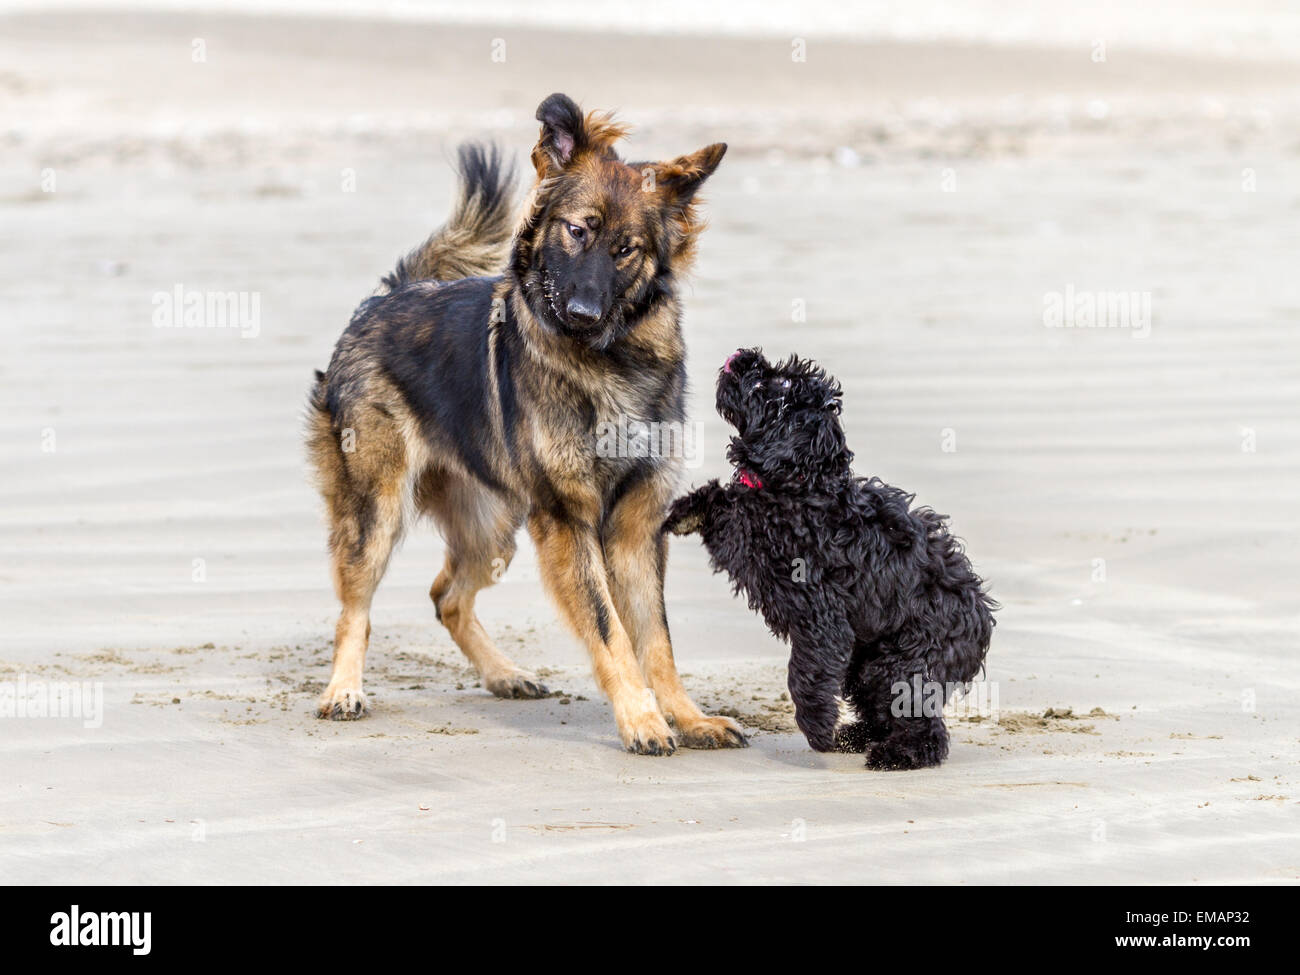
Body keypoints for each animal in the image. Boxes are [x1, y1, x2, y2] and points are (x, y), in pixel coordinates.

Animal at [302, 95, 743, 754]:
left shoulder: (636, 525)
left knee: (447, 597)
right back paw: (344, 690)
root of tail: (385, 297)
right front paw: (641, 720)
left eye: (627, 249)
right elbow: (611, 630)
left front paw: (688, 717)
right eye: (577, 230)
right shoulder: (569, 521)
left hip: (492, 528)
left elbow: (656, 639)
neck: (609, 360)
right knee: (356, 607)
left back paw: (504, 675)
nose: (583, 312)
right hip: (376, 510)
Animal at [665, 351, 998, 769]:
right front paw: (682, 512)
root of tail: (982, 617)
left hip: (905, 662)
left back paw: (896, 754)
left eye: (779, 386)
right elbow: (722, 502)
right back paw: (857, 737)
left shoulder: (821, 618)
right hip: (867, 664)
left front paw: (818, 730)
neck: (797, 487)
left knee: (924, 725)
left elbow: (804, 674)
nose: (743, 355)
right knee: (883, 711)